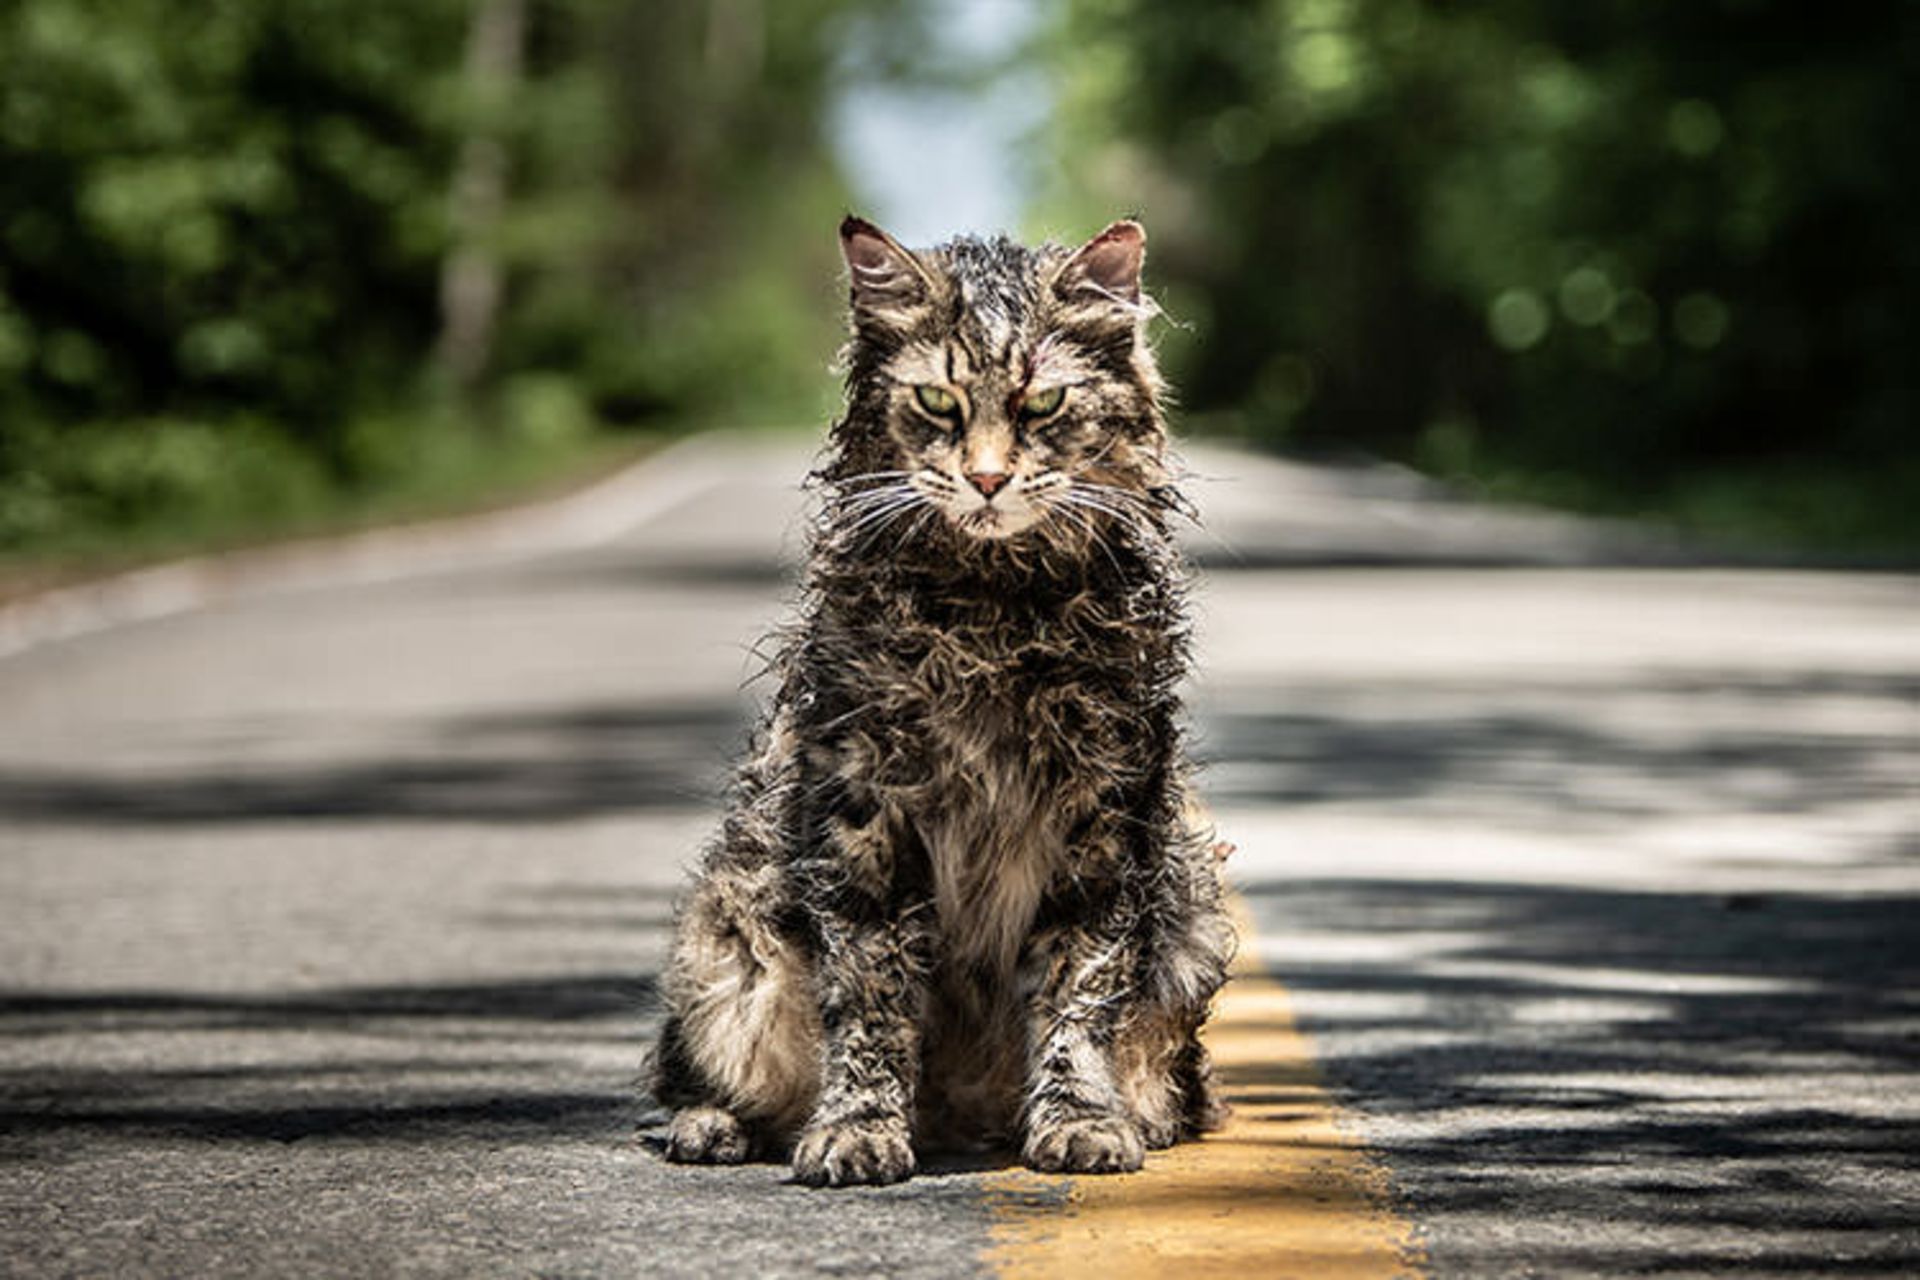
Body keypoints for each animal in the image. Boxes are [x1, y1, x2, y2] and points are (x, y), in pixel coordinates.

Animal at [652, 214, 1236, 1189]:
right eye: (936, 403)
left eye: (1042, 406)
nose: (989, 479)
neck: (994, 614)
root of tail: (959, 1118)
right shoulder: (864, 817)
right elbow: (871, 998)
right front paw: (858, 1129)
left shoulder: (1104, 818)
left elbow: (1080, 991)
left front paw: (1081, 1120)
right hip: (728, 932)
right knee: (697, 1074)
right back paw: (714, 1125)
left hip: (1190, 910)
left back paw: (1133, 1117)